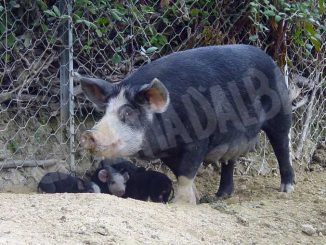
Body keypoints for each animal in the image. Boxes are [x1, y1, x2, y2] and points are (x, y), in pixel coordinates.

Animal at [75, 43, 294, 203]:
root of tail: (270, 59)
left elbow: (187, 172)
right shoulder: (168, 152)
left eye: (128, 112)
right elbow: (179, 172)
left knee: (282, 146)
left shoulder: (198, 139)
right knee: (229, 160)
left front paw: (181, 204)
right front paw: (196, 198)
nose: (87, 134)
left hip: (281, 112)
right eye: (105, 112)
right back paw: (220, 195)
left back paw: (287, 189)